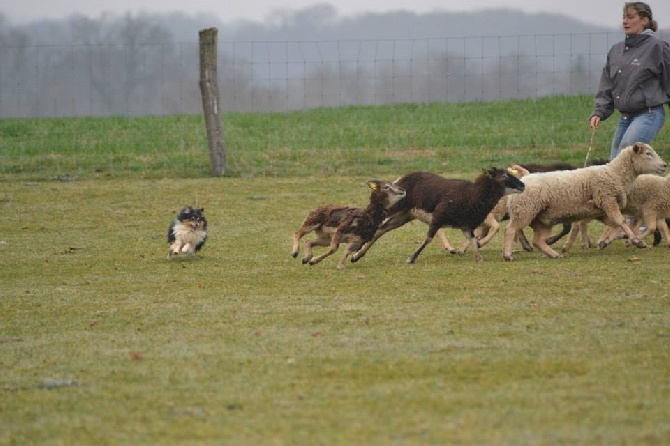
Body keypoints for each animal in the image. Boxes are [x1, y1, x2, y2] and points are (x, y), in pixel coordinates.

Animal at [352, 168, 524, 264]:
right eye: (504, 176)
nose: (523, 185)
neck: (472, 195)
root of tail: (399, 179)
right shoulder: (438, 218)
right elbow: (428, 239)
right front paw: (412, 258)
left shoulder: (466, 225)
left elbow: (473, 240)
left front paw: (479, 258)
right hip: (393, 208)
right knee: (374, 221)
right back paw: (356, 248)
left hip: (404, 215)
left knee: (381, 229)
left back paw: (357, 256)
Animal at [504, 143, 668, 262]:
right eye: (648, 154)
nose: (665, 165)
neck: (615, 173)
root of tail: (522, 180)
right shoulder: (607, 199)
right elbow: (621, 221)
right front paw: (634, 239)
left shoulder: (602, 210)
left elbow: (617, 224)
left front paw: (623, 241)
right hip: (524, 211)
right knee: (510, 230)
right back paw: (508, 255)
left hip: (542, 220)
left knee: (537, 241)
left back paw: (554, 254)